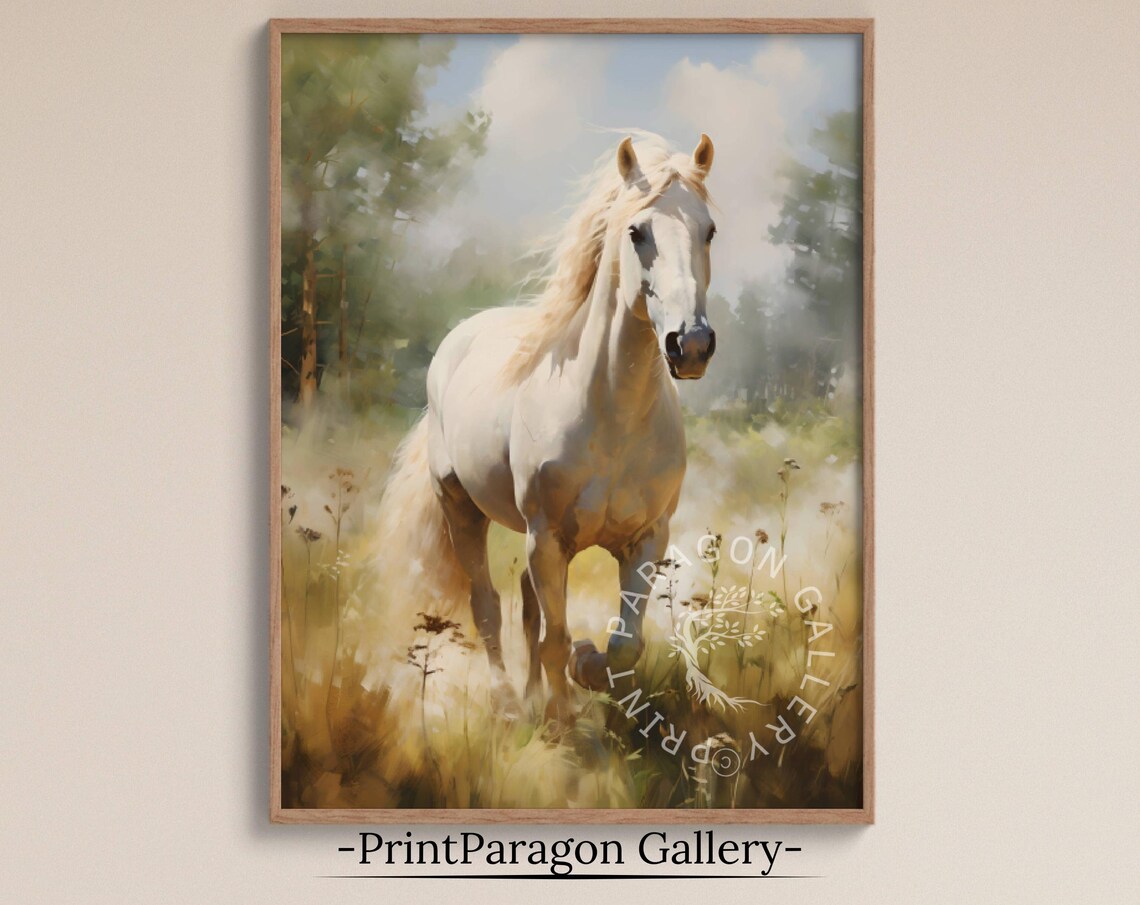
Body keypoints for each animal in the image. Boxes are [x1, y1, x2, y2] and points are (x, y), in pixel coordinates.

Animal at [378, 132, 718, 722]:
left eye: (709, 231)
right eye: (637, 232)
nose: (690, 345)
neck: (612, 418)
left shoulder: (647, 539)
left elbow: (622, 644)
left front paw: (591, 676)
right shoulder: (548, 538)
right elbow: (554, 639)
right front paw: (562, 715)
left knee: (527, 606)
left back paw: (535, 693)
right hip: (463, 510)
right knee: (488, 605)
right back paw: (508, 700)